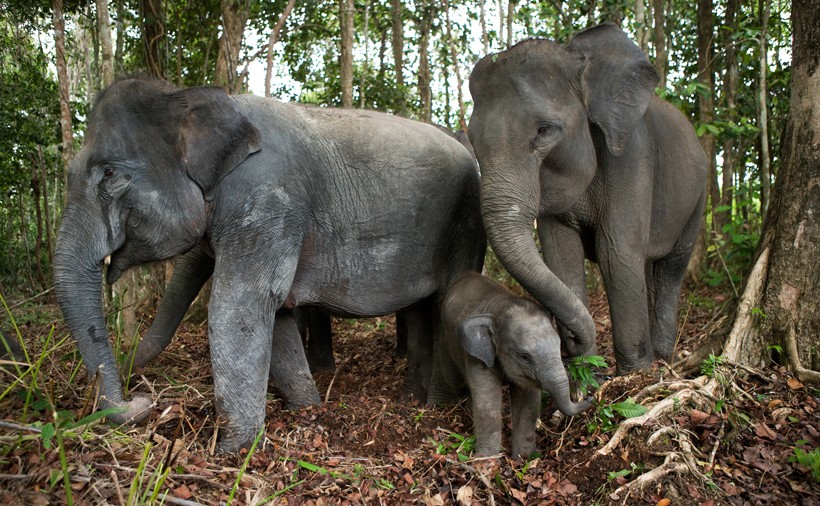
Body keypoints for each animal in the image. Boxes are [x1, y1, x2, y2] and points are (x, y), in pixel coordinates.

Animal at [56, 78, 486, 450]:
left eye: (110, 173)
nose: (141, 400)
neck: (190, 96)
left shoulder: (267, 202)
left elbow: (238, 307)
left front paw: (231, 452)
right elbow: (274, 312)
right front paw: (307, 411)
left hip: (464, 228)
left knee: (446, 304)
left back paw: (435, 407)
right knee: (418, 311)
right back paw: (410, 400)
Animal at [430, 272, 588, 458]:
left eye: (559, 345)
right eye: (524, 357)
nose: (589, 398)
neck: (502, 307)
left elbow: (528, 403)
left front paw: (525, 458)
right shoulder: (477, 357)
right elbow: (487, 401)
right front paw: (486, 461)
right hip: (446, 340)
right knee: (455, 379)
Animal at [470, 22, 708, 372]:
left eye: (543, 130)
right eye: (471, 139)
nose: (568, 340)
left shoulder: (633, 155)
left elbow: (616, 252)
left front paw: (635, 375)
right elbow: (561, 256)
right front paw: (588, 371)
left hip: (698, 197)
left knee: (671, 268)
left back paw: (664, 358)